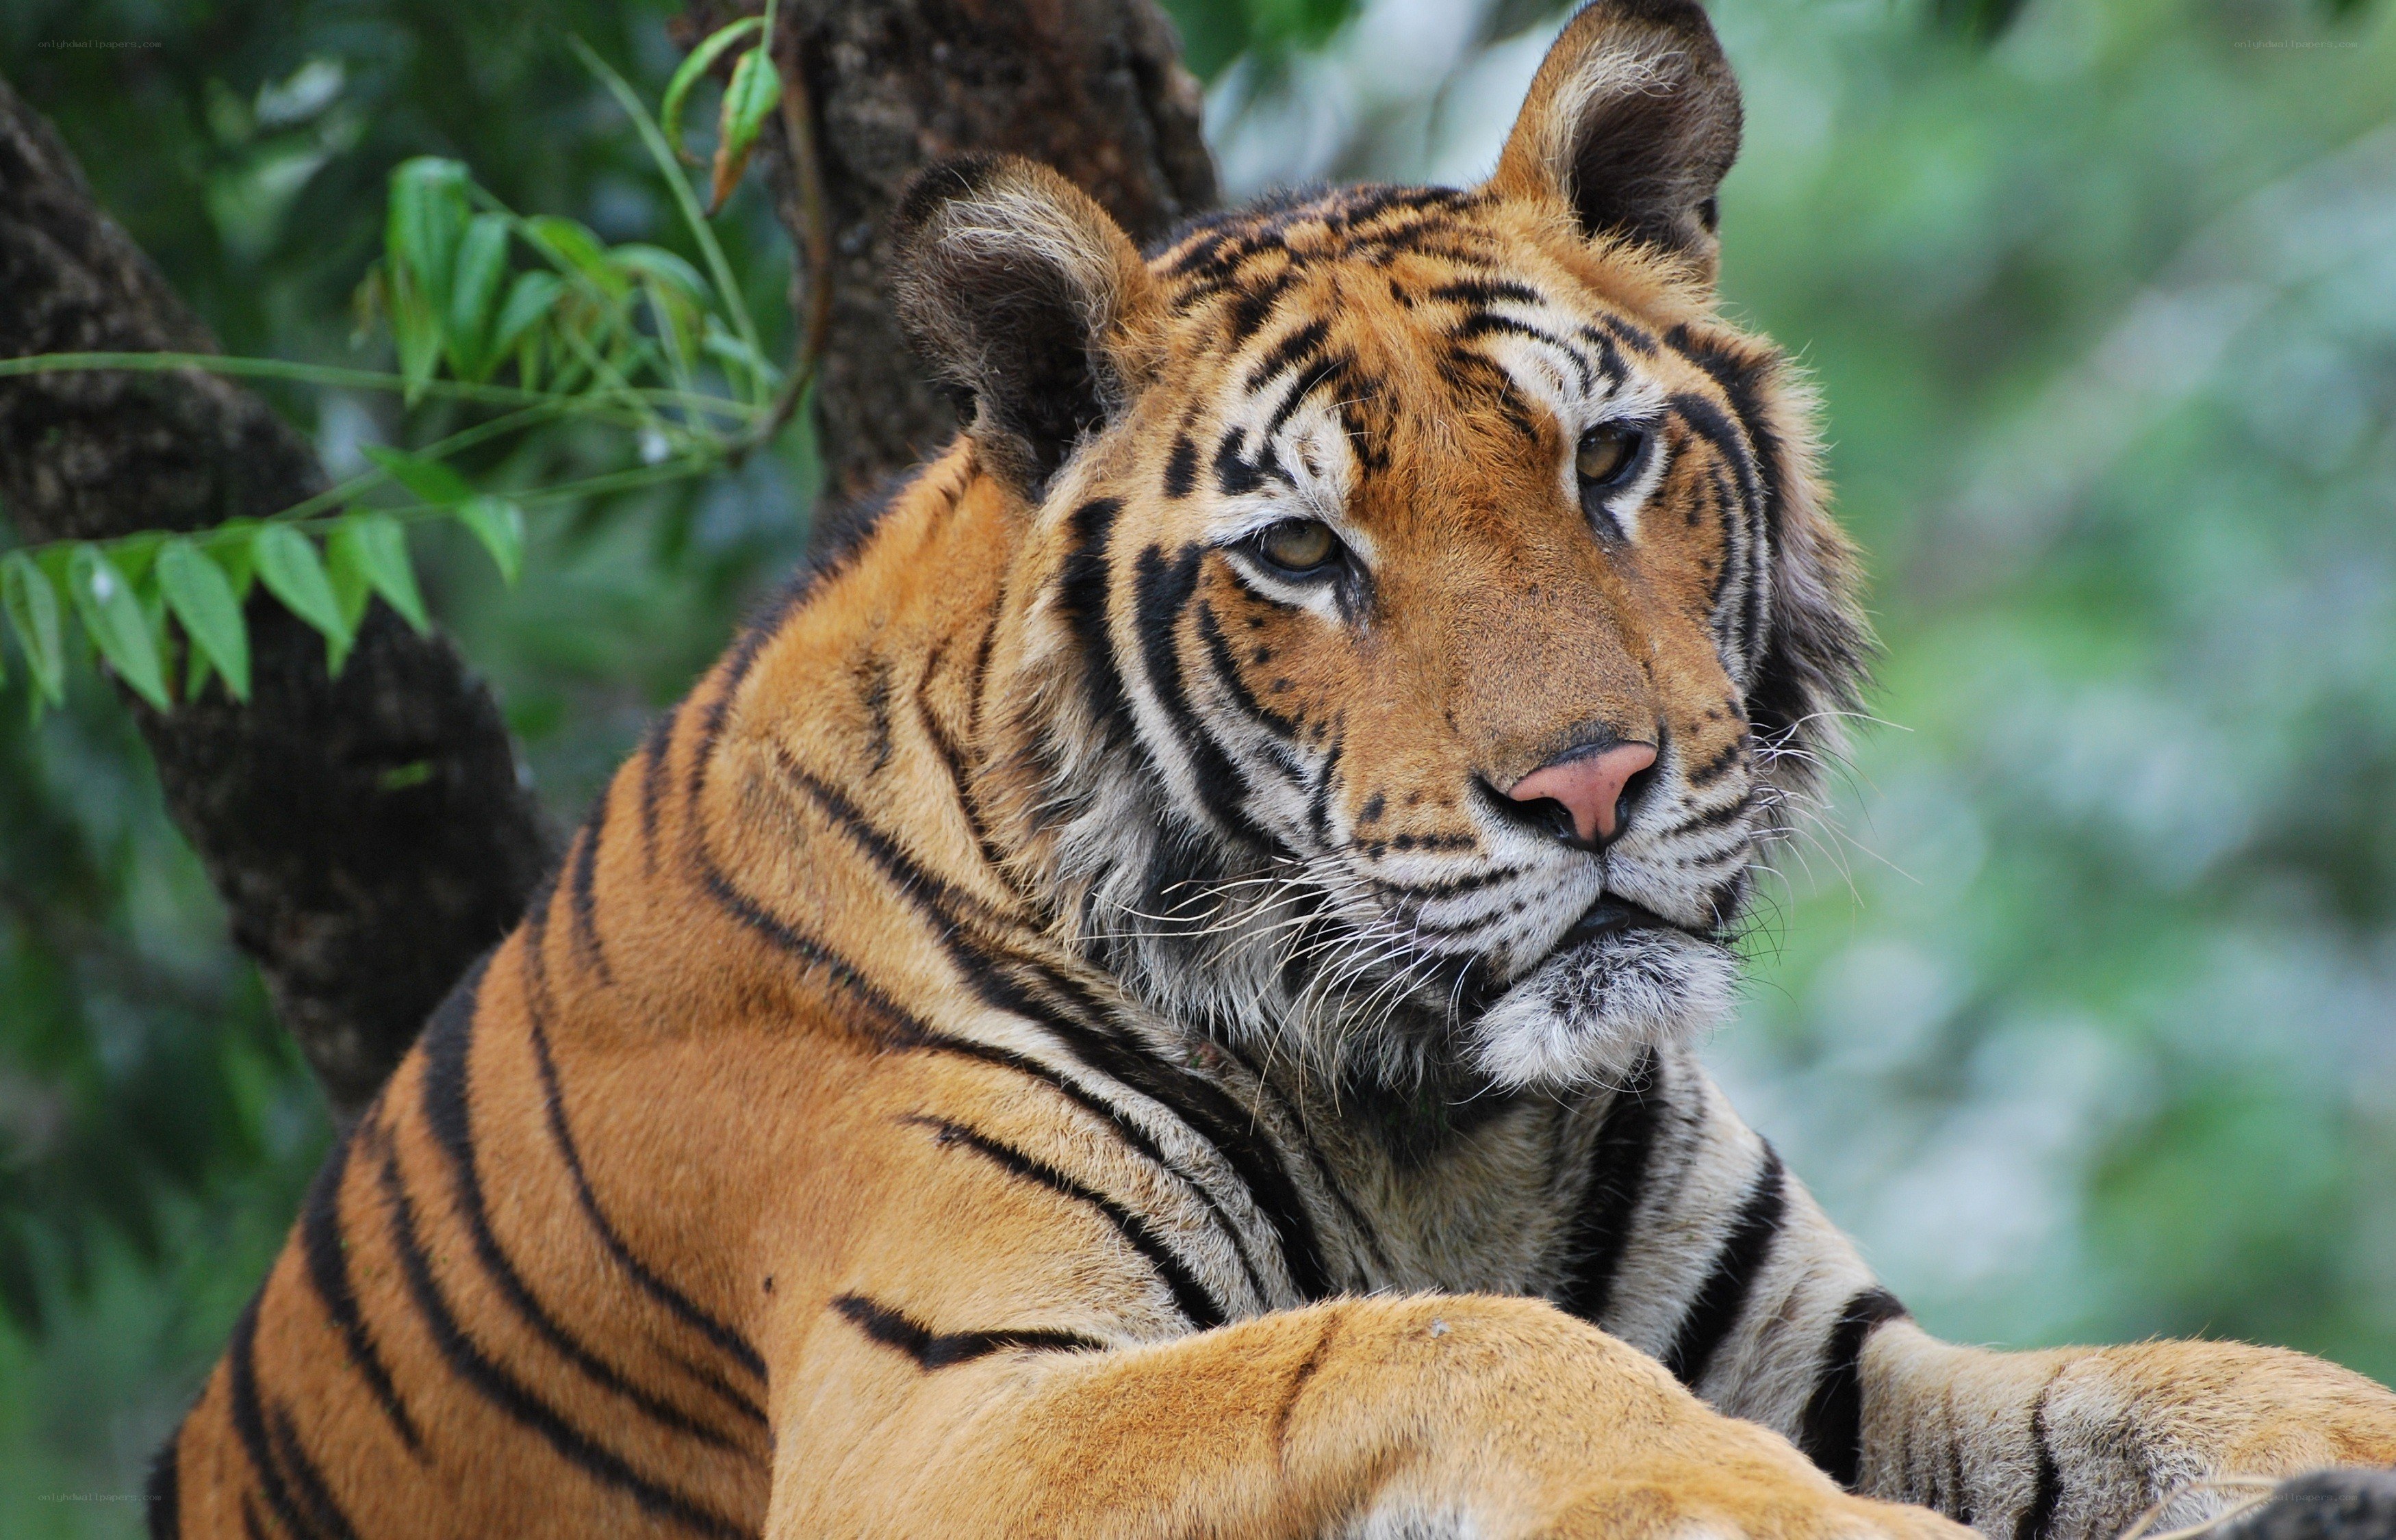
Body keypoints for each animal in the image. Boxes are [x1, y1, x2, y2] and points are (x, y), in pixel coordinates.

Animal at [152, 3, 2396, 1538]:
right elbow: (1430, 1340)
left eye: (1606, 459)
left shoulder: (1835, 1352)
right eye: (1305, 554)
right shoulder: (938, 1423)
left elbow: (2202, 1380)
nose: (1591, 789)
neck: (1439, 1120)